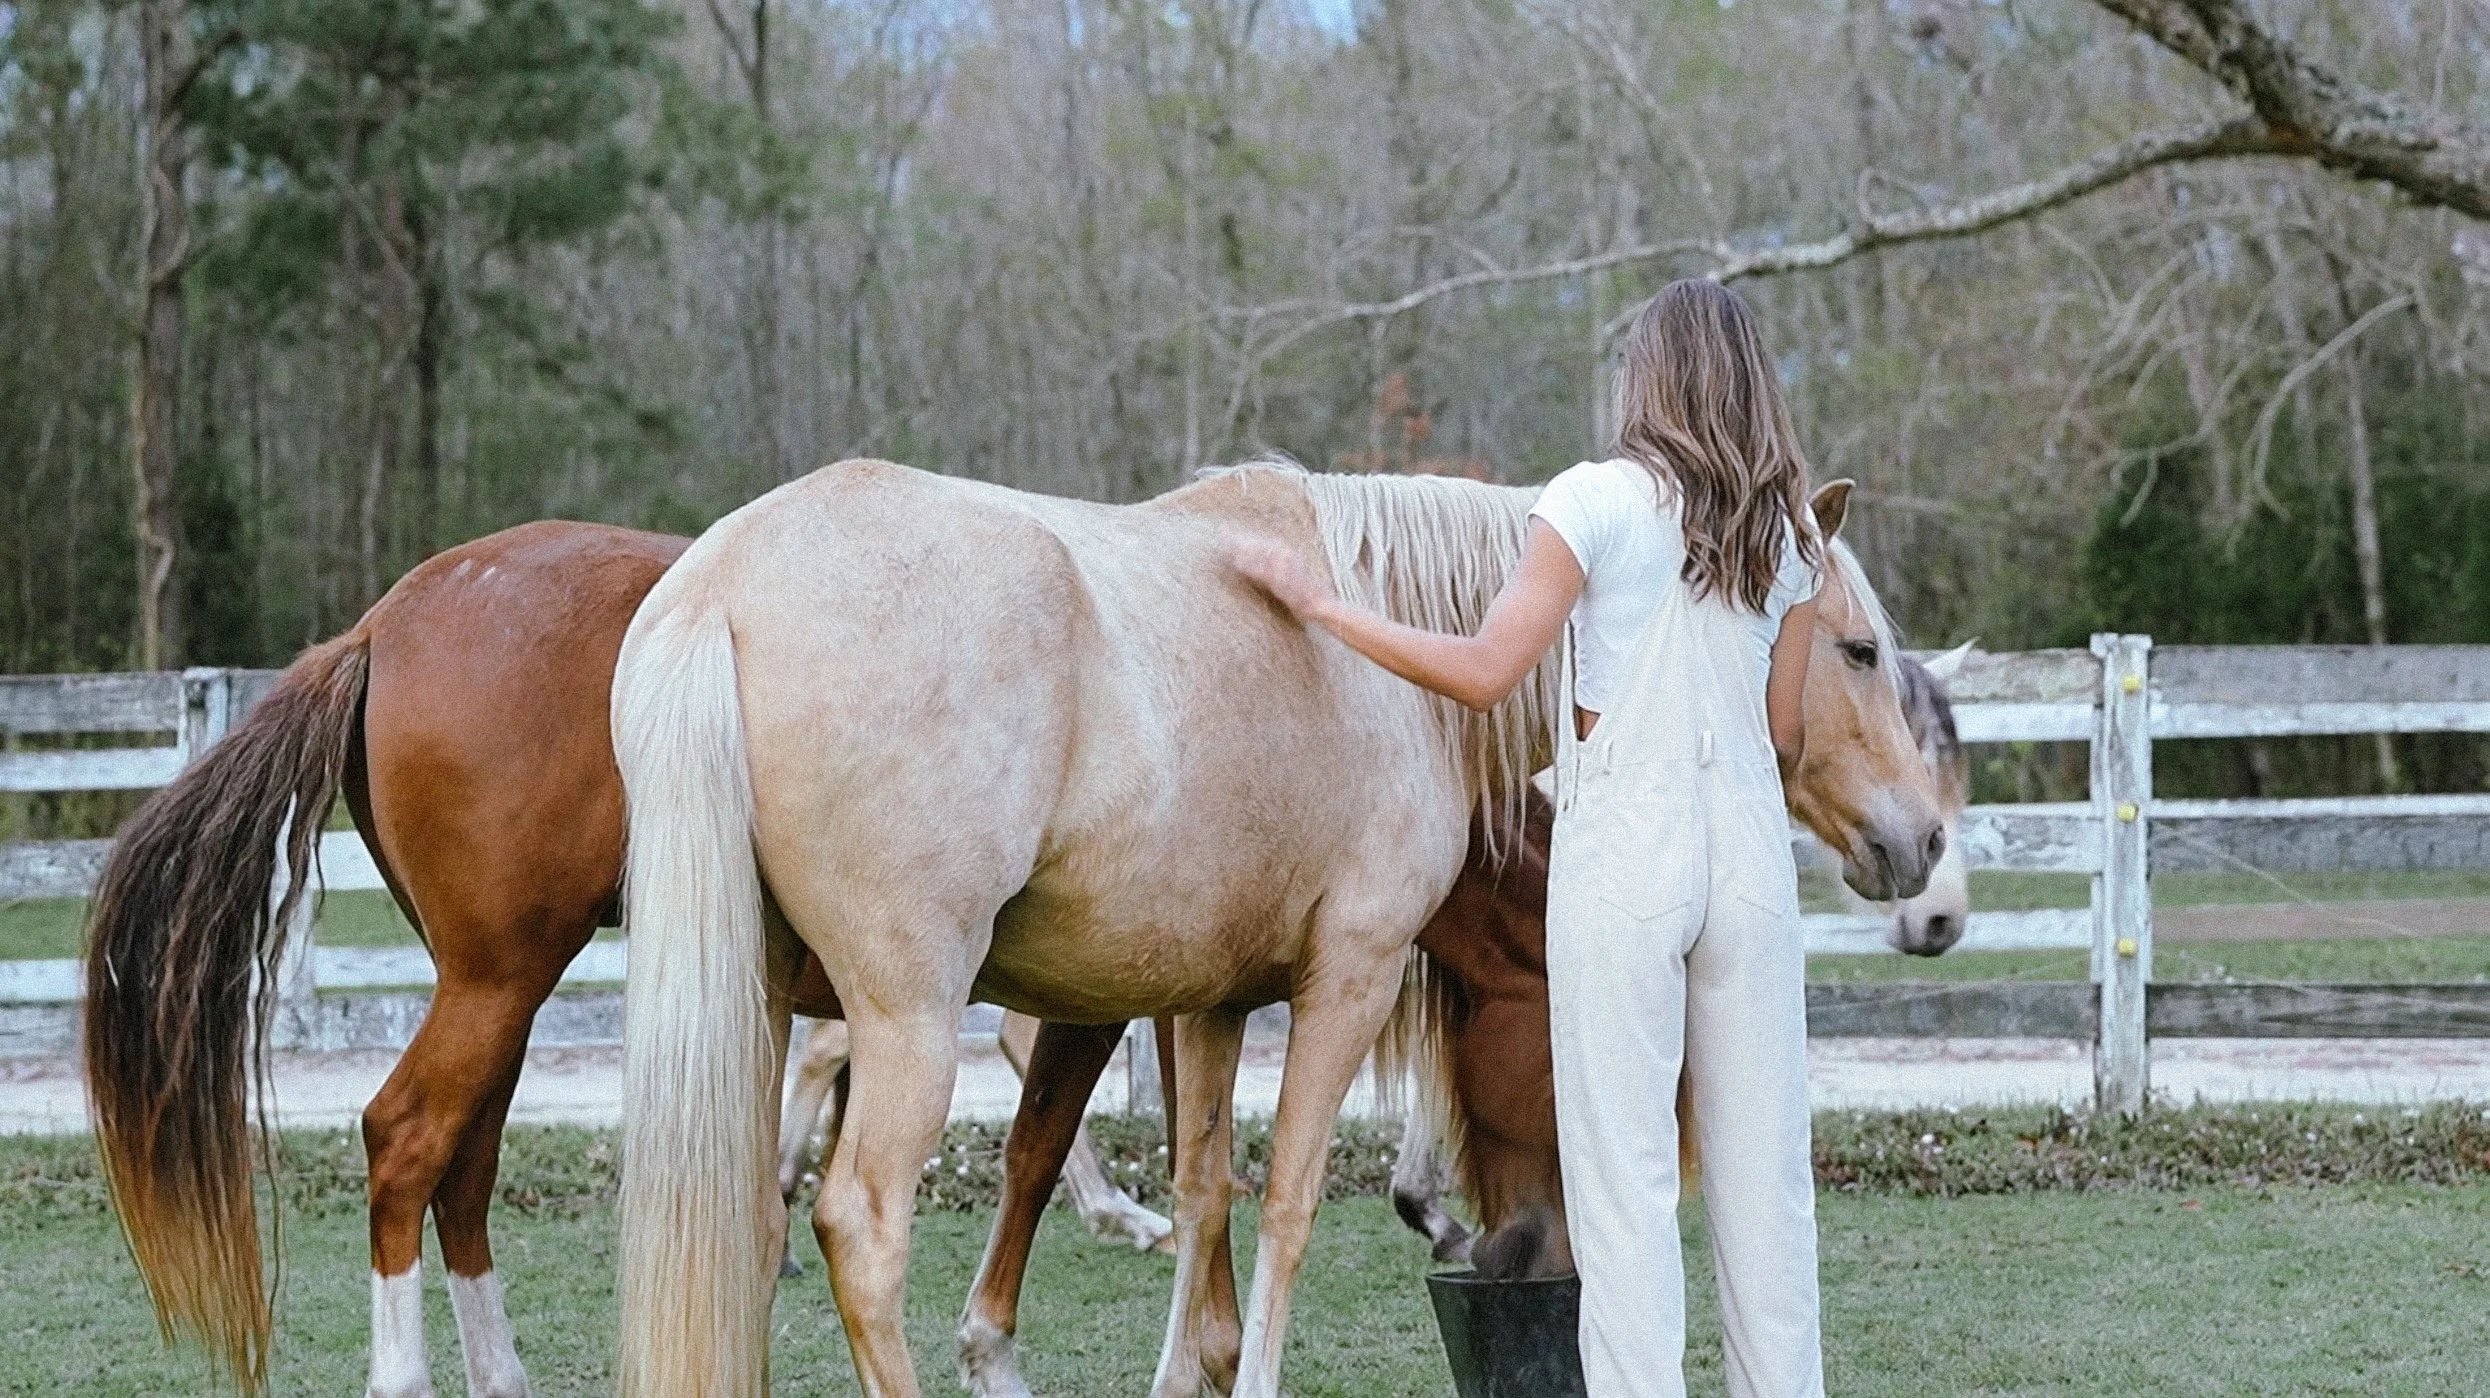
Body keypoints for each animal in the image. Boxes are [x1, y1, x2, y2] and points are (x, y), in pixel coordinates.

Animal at [78, 520, 1165, 1398]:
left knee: (464, 1165)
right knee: (406, 1139)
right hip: (498, 981)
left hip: (497, 991)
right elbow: (1045, 1133)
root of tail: (383, 624)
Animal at [607, 458, 1943, 1398]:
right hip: (909, 1020)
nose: (1923, 844)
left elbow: (1206, 1187)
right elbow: (1289, 1202)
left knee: (745, 1222)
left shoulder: (1209, 1001)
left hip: (755, 1012)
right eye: (1860, 650)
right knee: (860, 1231)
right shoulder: (1345, 980)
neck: (1393, 652)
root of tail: (721, 588)